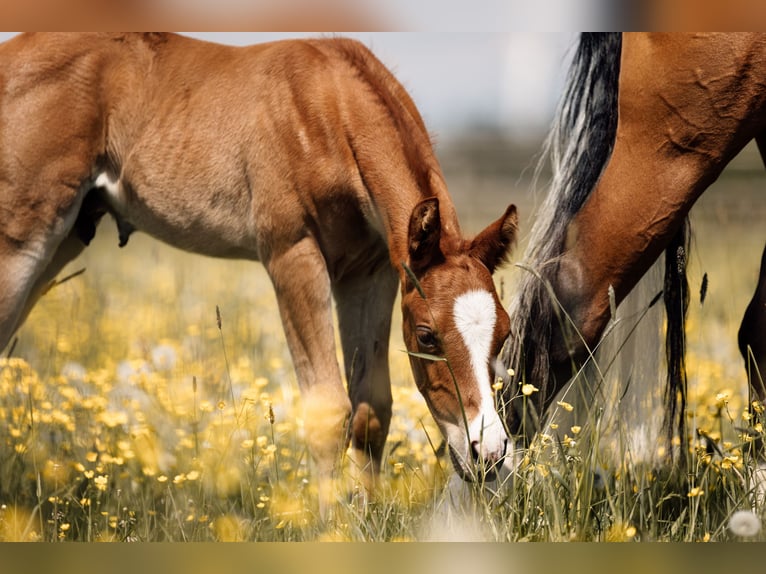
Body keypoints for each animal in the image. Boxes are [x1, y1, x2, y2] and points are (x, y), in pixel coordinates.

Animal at [0, 33, 519, 512]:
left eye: (504, 333)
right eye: (428, 336)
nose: (489, 453)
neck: (328, 107)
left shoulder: (371, 272)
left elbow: (371, 410)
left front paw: (366, 514)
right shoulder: (292, 254)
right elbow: (327, 408)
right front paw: (332, 525)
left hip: (67, 235)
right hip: (24, 237)